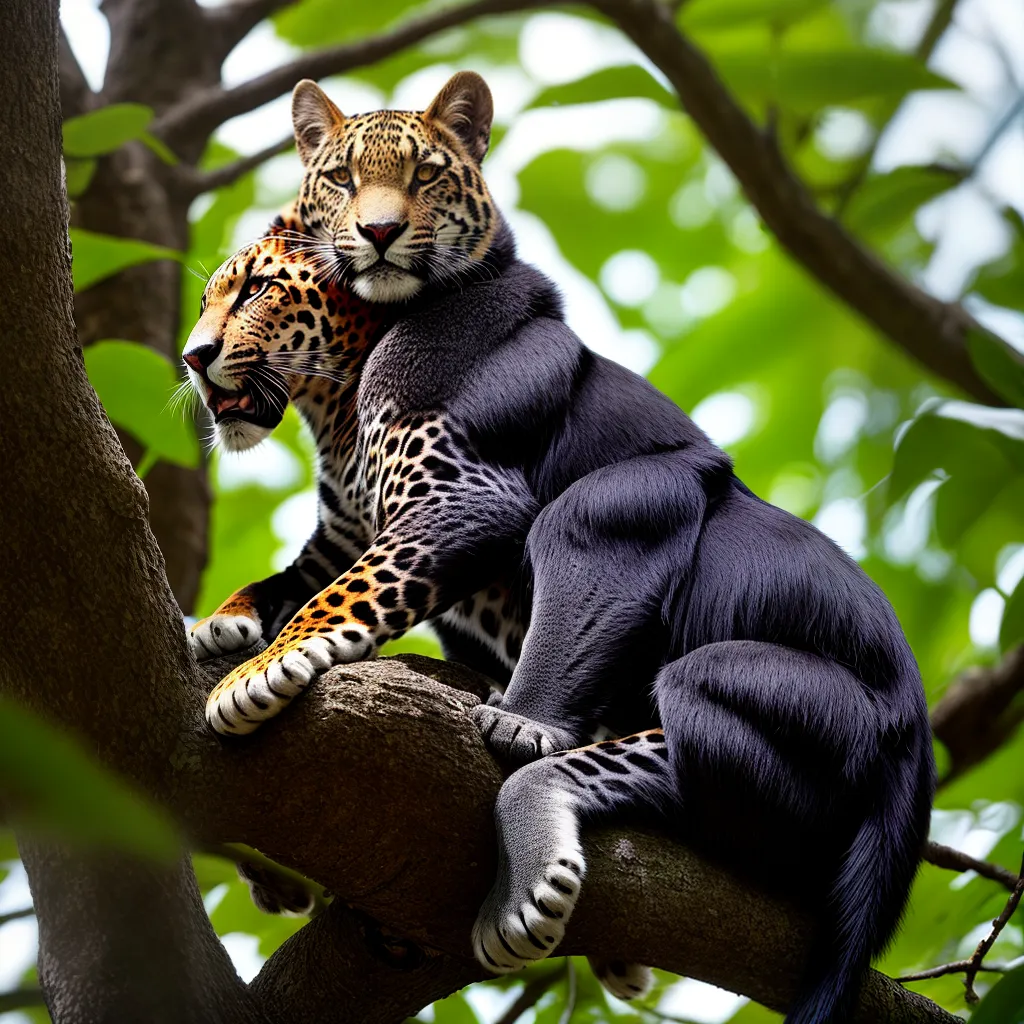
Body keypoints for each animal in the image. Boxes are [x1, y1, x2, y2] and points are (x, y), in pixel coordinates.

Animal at [188, 72, 934, 1022]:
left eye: (253, 292)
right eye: (207, 301)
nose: (193, 355)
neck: (337, 403)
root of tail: (919, 747)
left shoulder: (466, 499)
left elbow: (346, 592)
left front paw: (261, 671)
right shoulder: (350, 521)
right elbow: (302, 572)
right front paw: (226, 622)